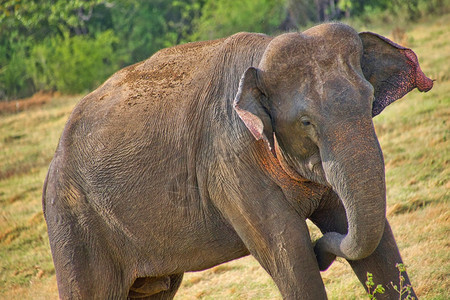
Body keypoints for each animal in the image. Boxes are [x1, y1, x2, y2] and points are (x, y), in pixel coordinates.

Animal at [42, 22, 432, 298]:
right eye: (305, 122)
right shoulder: (228, 164)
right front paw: (306, 250)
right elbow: (288, 250)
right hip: (74, 225)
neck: (259, 61)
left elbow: (376, 245)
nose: (323, 251)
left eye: (369, 101)